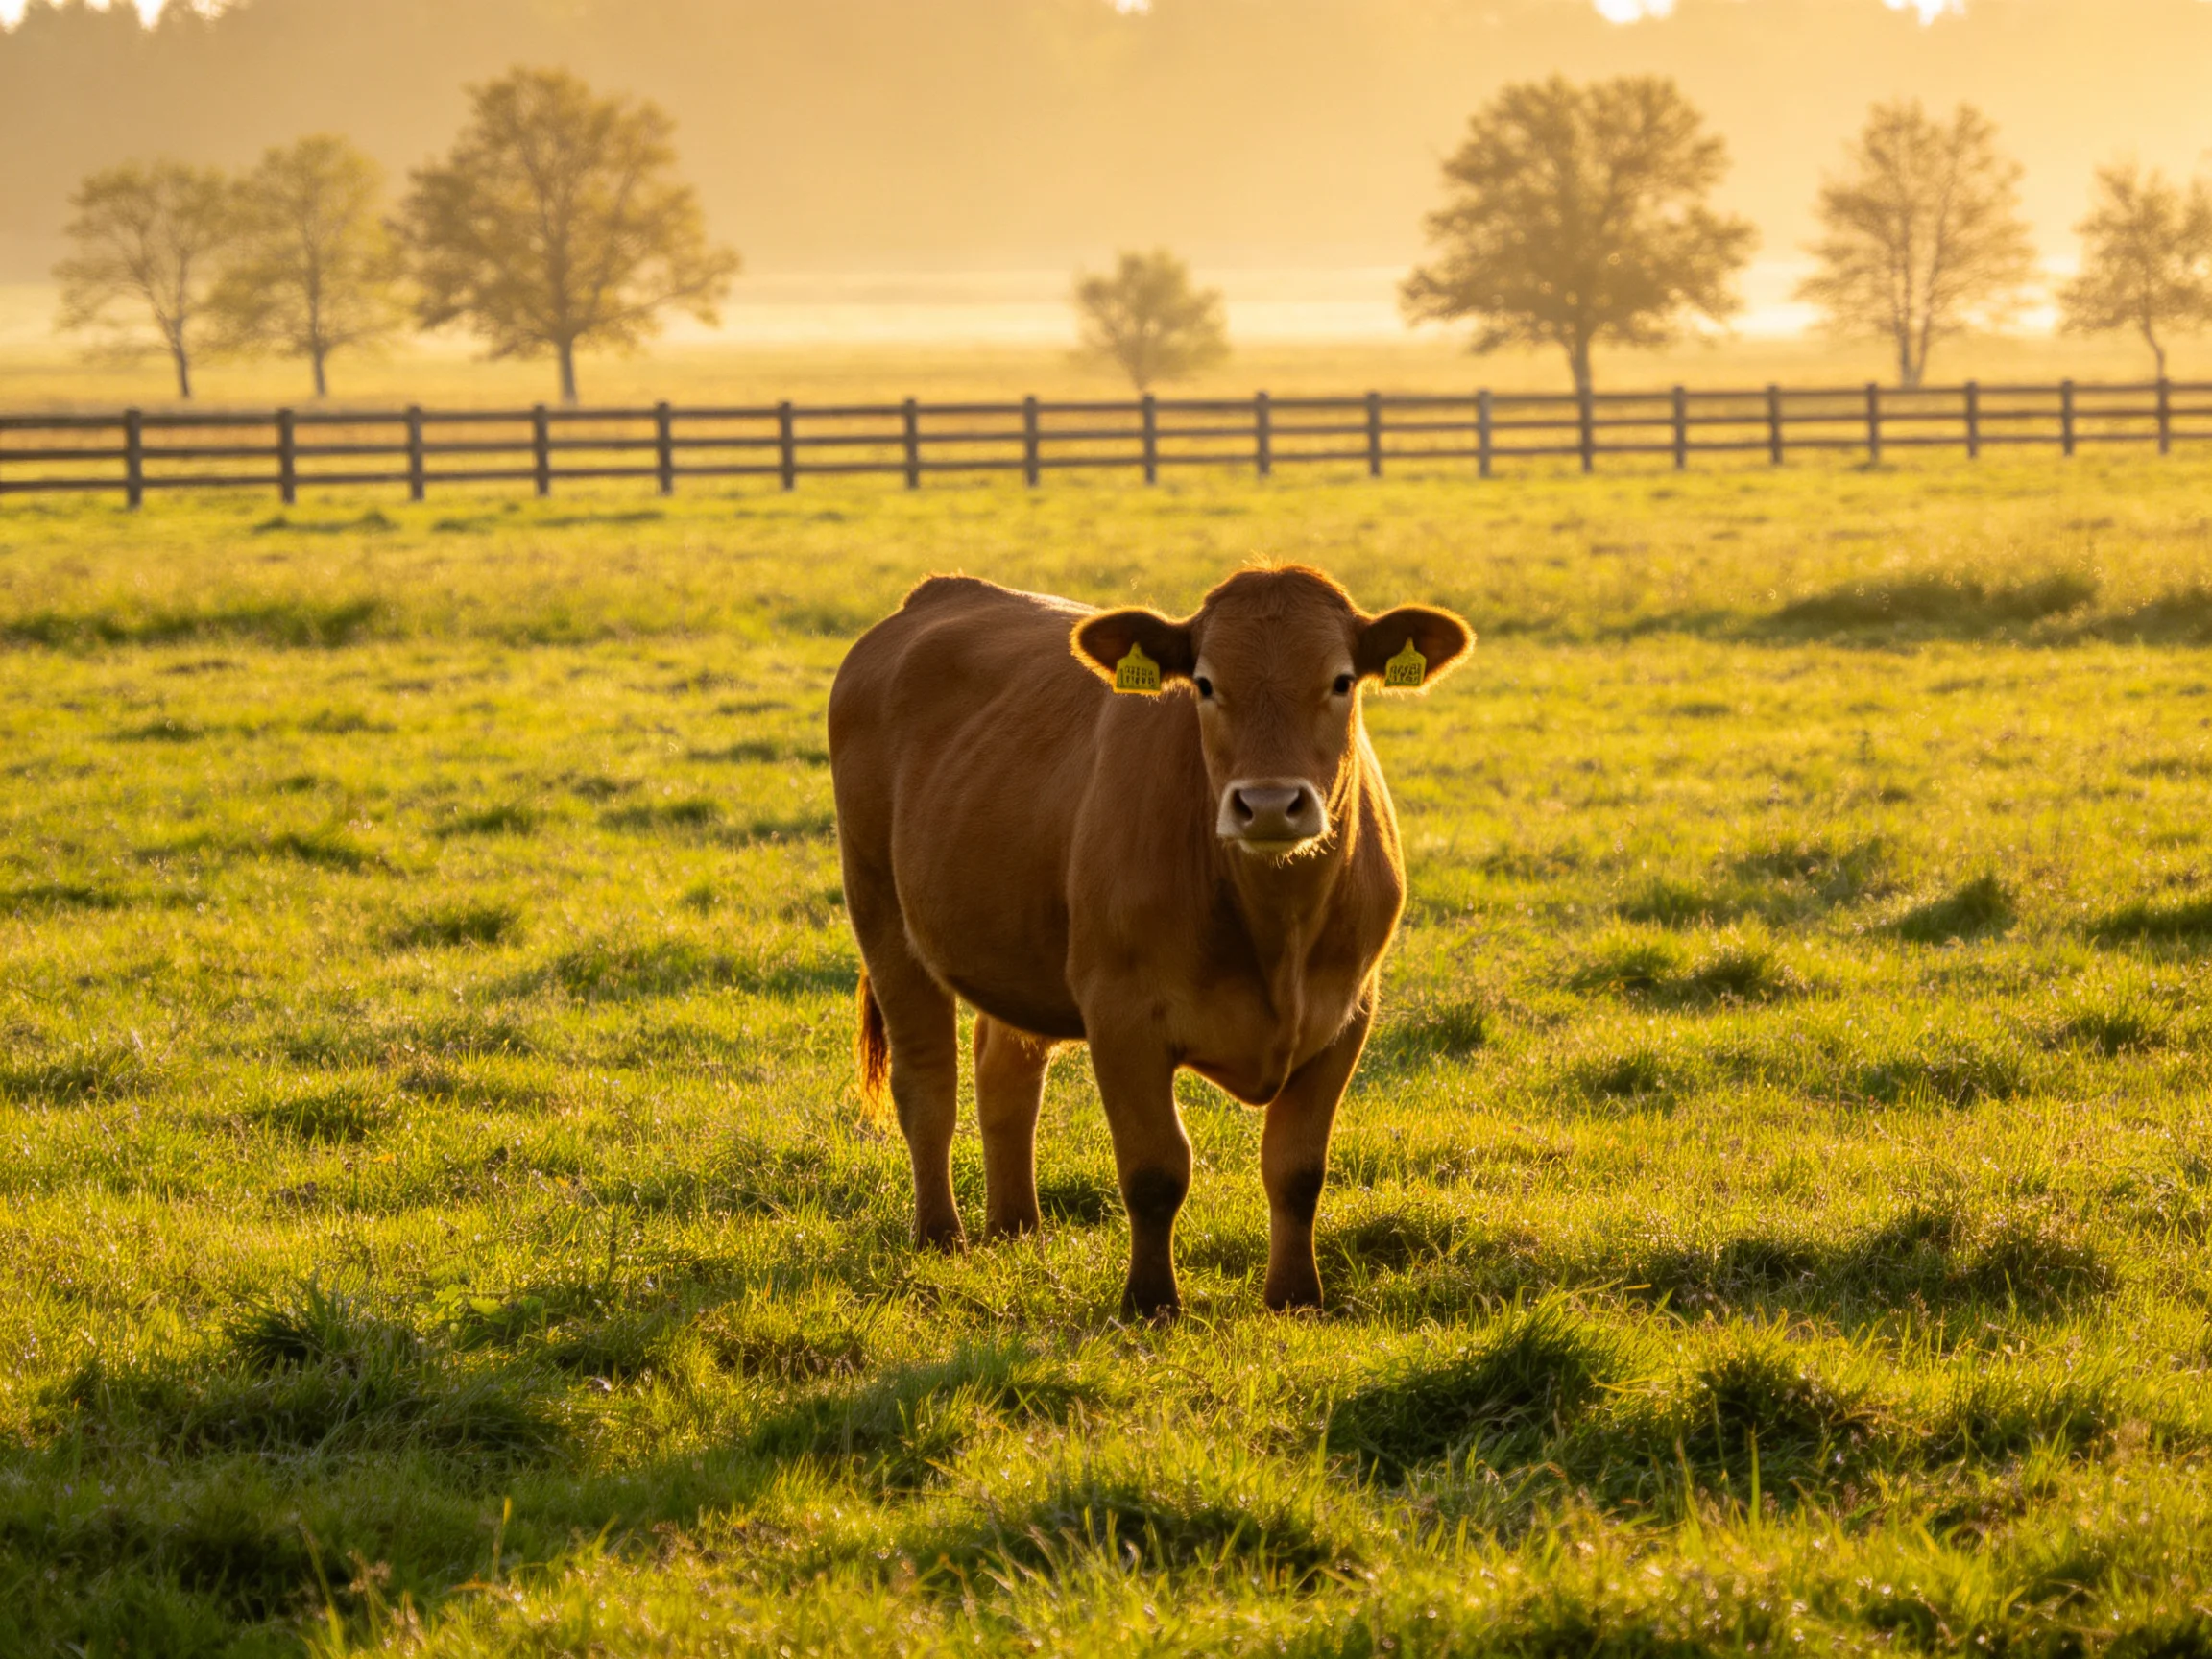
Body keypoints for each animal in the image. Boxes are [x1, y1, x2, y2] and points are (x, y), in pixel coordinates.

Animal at [827, 564, 1471, 1318]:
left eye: (1341, 681)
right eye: (1206, 684)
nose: (1271, 805)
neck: (1274, 929)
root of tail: (937, 593)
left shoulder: (1346, 1014)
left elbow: (1298, 1169)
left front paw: (1295, 1298)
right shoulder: (1122, 1015)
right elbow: (1155, 1168)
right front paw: (1151, 1302)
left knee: (1006, 1074)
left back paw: (1017, 1229)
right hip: (882, 914)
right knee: (927, 1084)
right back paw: (941, 1236)